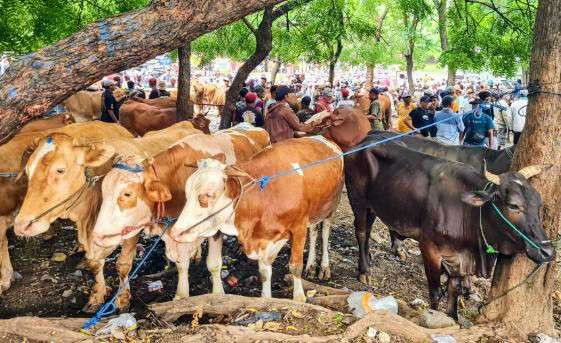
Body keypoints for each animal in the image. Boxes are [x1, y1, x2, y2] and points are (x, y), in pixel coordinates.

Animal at [11, 121, 201, 312]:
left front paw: (122, 298)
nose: (22, 225)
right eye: (27, 171)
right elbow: (95, 264)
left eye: (60, 170)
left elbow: (123, 264)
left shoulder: (131, 230)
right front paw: (97, 295)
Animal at [90, 125, 270, 302]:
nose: (96, 236)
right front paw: (181, 295)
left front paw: (217, 294)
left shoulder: (215, 227)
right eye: (103, 191)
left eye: (127, 194)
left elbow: (213, 264)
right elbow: (181, 264)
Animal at [166, 136, 344, 302]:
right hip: (315, 211)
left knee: (324, 233)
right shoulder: (264, 238)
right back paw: (311, 265)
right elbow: (264, 272)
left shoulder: (298, 227)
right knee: (314, 231)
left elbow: (295, 266)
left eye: (207, 195)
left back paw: (324, 267)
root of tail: (325, 139)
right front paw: (266, 298)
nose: (175, 232)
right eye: (186, 193)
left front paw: (299, 299)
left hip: (331, 207)